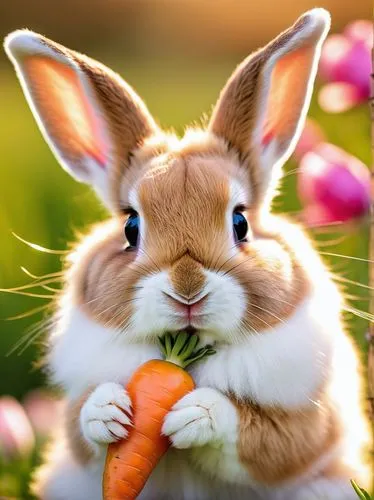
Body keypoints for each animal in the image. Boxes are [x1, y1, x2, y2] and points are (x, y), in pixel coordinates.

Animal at [4, 7, 372, 500]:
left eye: (240, 223)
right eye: (131, 227)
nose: (187, 291)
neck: (187, 356)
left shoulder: (307, 426)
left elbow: (265, 439)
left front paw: (198, 415)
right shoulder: (75, 430)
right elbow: (82, 426)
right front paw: (108, 411)